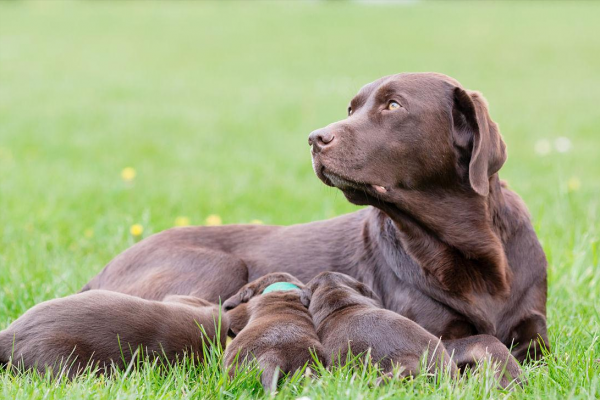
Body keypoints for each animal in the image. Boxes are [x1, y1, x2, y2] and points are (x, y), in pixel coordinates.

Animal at [81, 72, 548, 368]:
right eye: (351, 108)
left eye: (393, 105)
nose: (314, 138)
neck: (474, 254)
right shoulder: (434, 332)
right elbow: (487, 341)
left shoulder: (535, 326)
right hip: (219, 266)